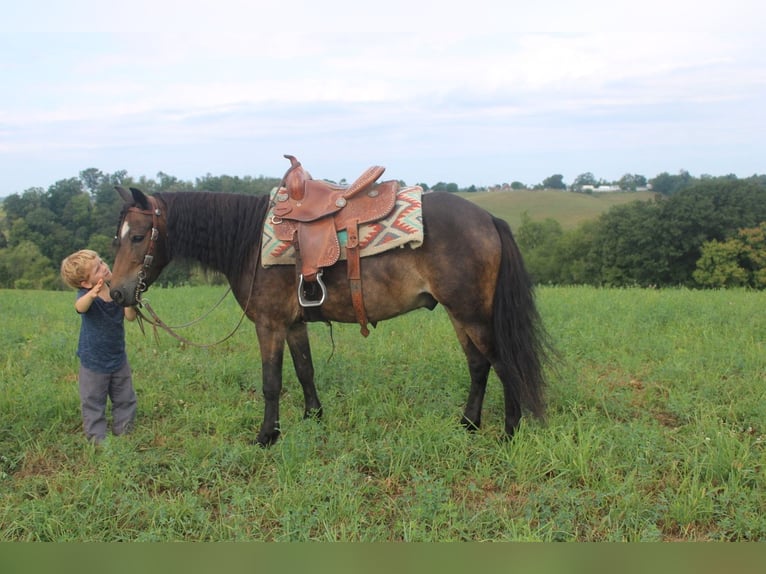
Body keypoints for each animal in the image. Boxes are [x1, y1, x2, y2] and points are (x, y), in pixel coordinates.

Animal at [109, 168, 550, 446]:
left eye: (139, 236)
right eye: (118, 236)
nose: (116, 293)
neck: (250, 241)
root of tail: (489, 218)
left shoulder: (269, 324)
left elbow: (271, 382)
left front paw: (267, 436)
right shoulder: (293, 324)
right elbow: (305, 370)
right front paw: (313, 418)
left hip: (473, 315)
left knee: (503, 364)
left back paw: (509, 433)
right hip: (461, 314)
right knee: (478, 366)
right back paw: (468, 425)